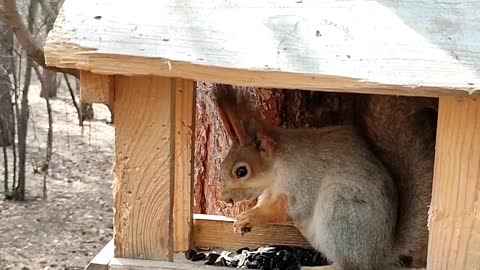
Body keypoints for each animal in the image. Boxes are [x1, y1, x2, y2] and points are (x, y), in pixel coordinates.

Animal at [214, 84, 402, 270]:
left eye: (241, 171)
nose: (225, 199)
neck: (278, 167)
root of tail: (382, 254)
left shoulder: (303, 179)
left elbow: (288, 208)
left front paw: (251, 216)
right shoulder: (271, 190)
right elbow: (266, 202)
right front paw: (244, 218)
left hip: (341, 209)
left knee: (350, 265)